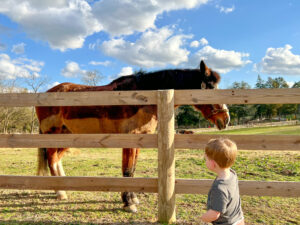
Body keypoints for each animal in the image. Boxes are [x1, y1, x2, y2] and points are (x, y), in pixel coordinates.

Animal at [37, 60, 230, 213]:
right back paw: (60, 193)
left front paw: (132, 198)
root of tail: (46, 94)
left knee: (57, 160)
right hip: (53, 135)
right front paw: (128, 203)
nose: (225, 118)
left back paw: (62, 187)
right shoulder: (130, 139)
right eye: (211, 88)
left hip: (67, 135)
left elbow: (133, 170)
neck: (144, 97)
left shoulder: (139, 140)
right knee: (52, 159)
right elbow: (128, 171)